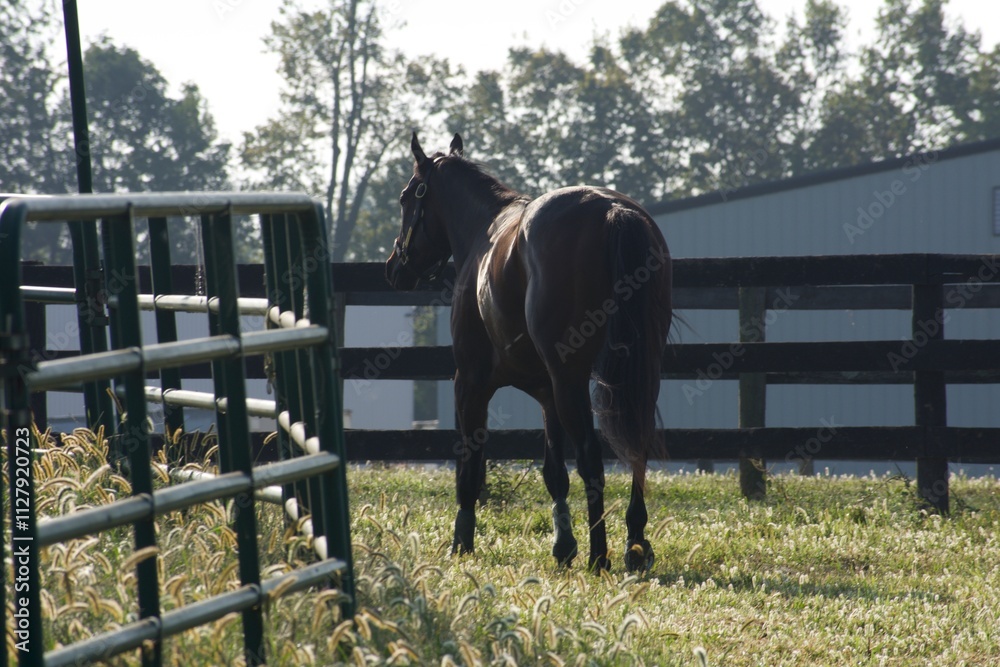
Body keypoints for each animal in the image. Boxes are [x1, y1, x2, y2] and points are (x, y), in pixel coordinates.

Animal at [385, 133, 672, 571]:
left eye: (406, 197)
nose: (394, 268)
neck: (485, 233)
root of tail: (613, 210)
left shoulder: (469, 382)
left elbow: (471, 466)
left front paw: (461, 542)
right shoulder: (545, 392)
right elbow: (554, 472)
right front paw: (563, 544)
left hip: (571, 379)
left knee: (591, 456)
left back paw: (600, 554)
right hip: (638, 373)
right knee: (636, 445)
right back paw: (635, 544)